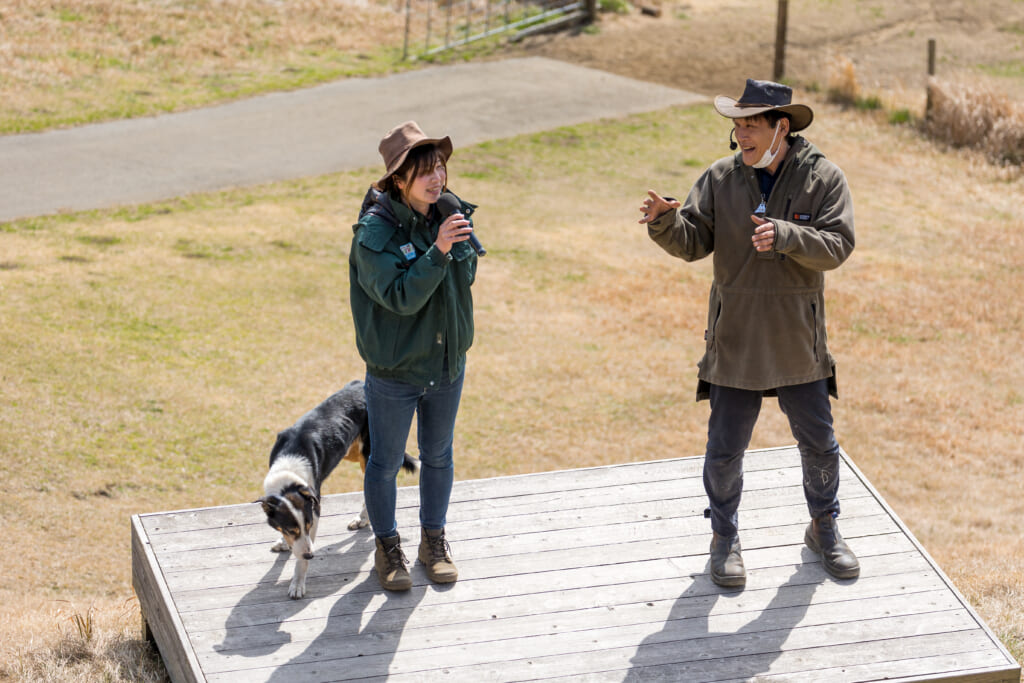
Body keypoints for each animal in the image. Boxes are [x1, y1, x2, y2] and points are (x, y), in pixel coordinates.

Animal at [260, 378, 419, 598]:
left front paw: (298, 582)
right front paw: (284, 543)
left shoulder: (315, 509)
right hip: (351, 451)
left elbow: (301, 558)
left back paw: (363, 518)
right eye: (291, 529)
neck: (289, 465)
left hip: (370, 453)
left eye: (308, 525)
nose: (311, 555)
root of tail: (362, 383)